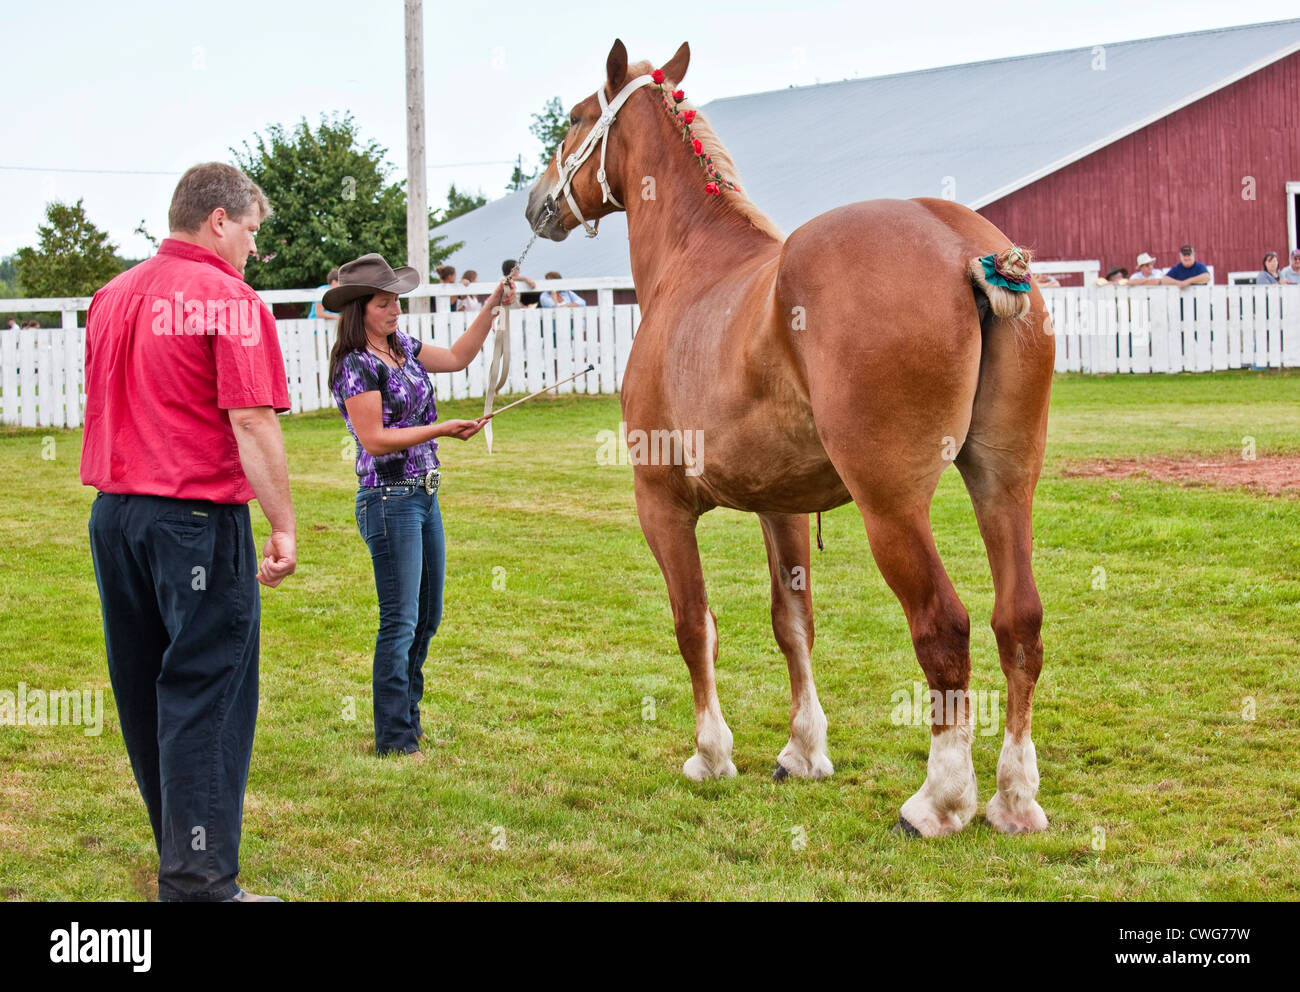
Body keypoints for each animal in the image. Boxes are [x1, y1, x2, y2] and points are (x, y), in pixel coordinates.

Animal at [525, 40, 1055, 837]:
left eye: (579, 118)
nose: (538, 202)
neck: (692, 261)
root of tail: (967, 246)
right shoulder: (784, 506)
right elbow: (792, 622)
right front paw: (803, 751)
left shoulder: (661, 505)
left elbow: (693, 624)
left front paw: (712, 755)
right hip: (1004, 482)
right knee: (1017, 620)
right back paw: (1013, 799)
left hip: (892, 508)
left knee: (944, 626)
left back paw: (940, 800)